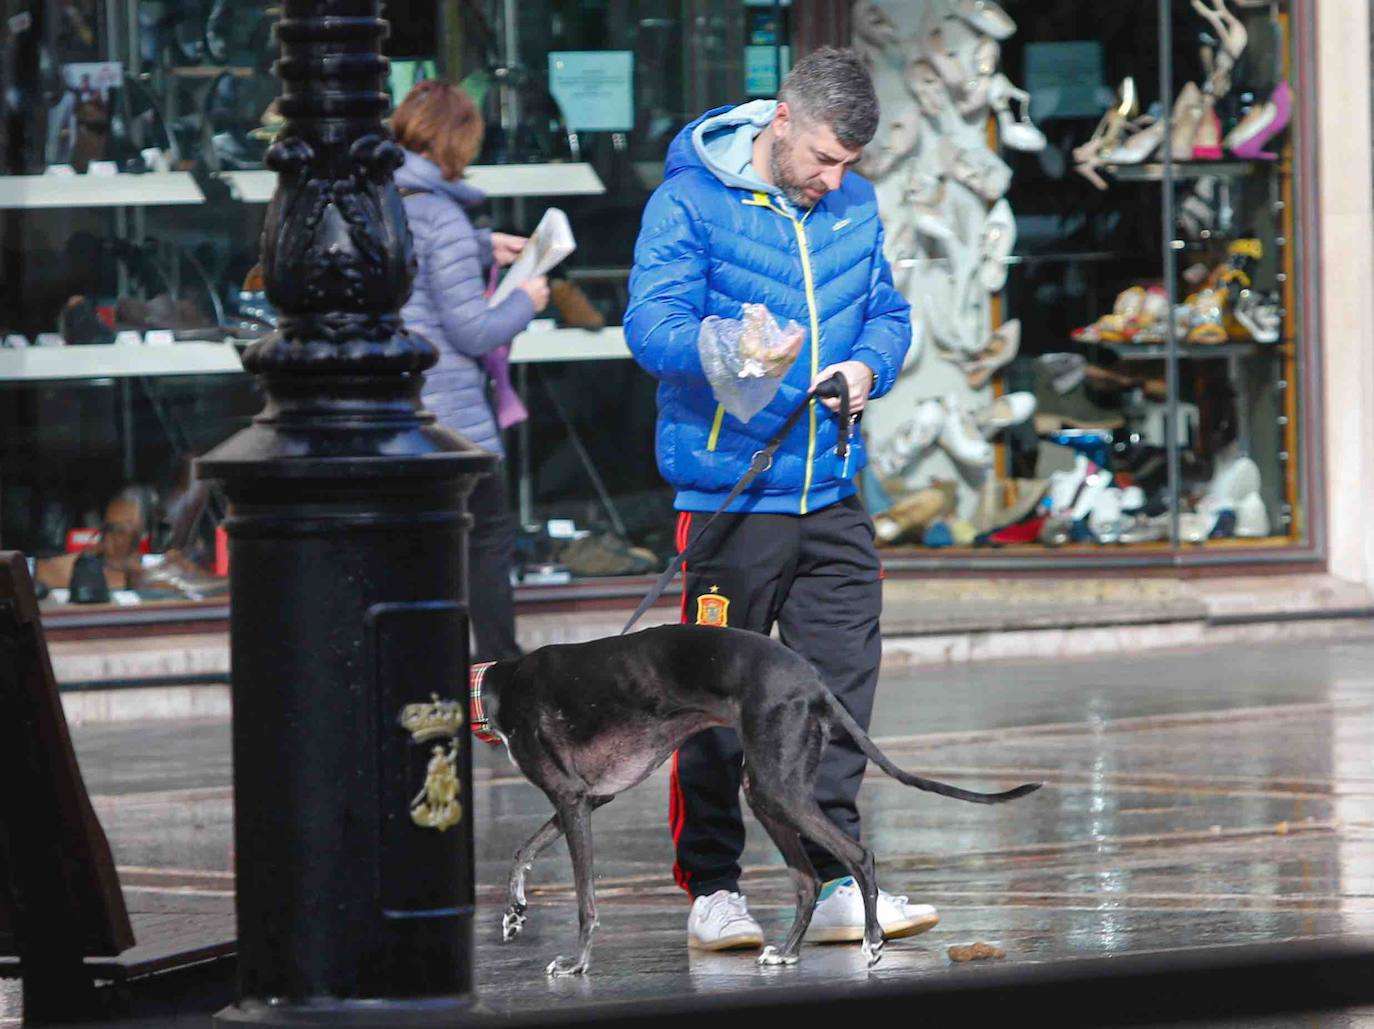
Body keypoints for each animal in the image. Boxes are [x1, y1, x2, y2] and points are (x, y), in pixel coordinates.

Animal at [472, 620, 1038, 978]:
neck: (495, 686)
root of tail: (814, 681)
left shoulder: (571, 800)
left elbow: (585, 899)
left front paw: (576, 963)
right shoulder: (585, 801)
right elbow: (521, 850)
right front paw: (514, 912)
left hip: (778, 788)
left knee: (858, 854)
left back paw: (873, 939)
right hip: (766, 792)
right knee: (807, 879)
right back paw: (785, 953)